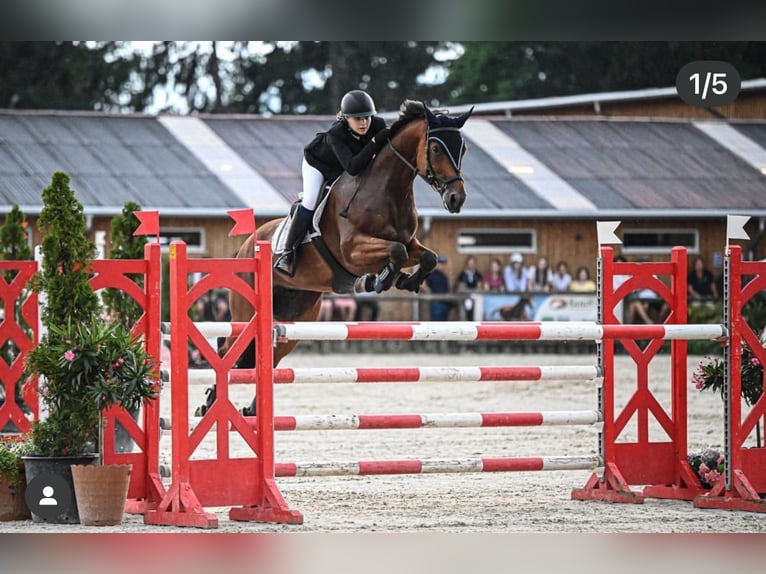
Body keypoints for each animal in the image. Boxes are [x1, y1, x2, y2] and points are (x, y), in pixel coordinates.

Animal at [198, 99, 474, 414]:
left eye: (463, 148)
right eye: (437, 148)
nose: (456, 199)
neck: (387, 191)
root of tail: (245, 248)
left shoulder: (411, 242)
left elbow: (426, 257)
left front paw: (404, 281)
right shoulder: (352, 251)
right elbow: (396, 250)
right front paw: (377, 280)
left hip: (297, 317)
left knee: (270, 354)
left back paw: (251, 409)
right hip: (246, 312)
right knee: (227, 347)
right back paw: (210, 403)